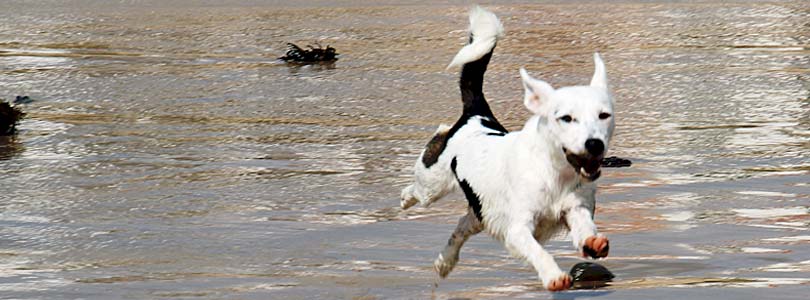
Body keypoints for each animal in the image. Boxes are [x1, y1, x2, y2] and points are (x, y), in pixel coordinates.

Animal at [398, 6, 612, 292]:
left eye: (604, 115)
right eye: (566, 118)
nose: (594, 144)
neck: (554, 172)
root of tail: (476, 114)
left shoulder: (575, 209)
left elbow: (585, 230)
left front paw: (594, 242)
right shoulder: (517, 229)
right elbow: (538, 252)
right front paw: (553, 276)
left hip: (482, 211)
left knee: (461, 227)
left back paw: (445, 262)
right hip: (432, 186)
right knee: (421, 180)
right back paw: (406, 198)